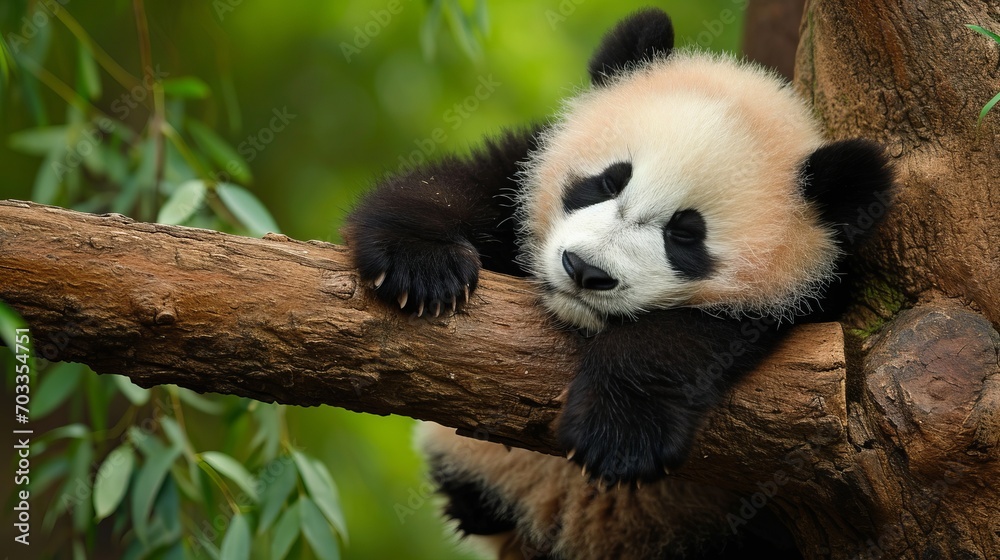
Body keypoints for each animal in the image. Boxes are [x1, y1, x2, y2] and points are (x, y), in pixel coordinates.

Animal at [344, 8, 893, 560]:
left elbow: (687, 336)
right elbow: (462, 183)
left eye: (684, 234)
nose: (585, 270)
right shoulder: (525, 161)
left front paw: (618, 434)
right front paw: (421, 266)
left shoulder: (817, 299)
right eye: (609, 181)